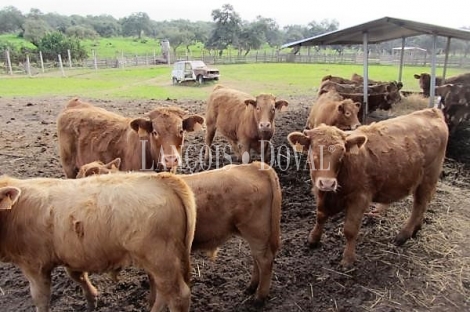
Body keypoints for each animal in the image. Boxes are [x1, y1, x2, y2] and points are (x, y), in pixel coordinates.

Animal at [76, 161, 280, 304]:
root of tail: (255, 167)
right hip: (255, 233)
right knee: (257, 259)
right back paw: (251, 287)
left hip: (255, 230)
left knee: (264, 260)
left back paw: (259, 298)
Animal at [286, 108, 448, 266]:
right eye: (313, 152)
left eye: (341, 153)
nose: (327, 183)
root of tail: (431, 111)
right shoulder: (321, 194)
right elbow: (320, 216)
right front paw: (313, 239)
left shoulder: (360, 197)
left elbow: (350, 230)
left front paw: (348, 259)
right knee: (423, 203)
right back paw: (416, 227)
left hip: (428, 177)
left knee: (419, 204)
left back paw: (404, 235)